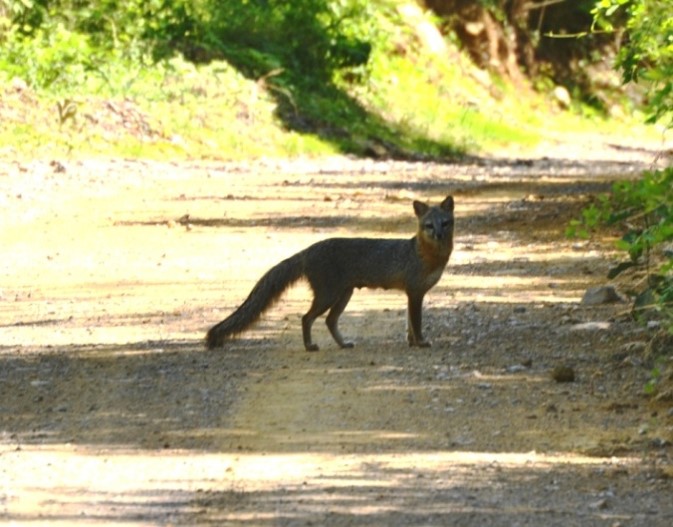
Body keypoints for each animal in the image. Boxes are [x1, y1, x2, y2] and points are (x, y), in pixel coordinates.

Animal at [207, 196, 454, 352]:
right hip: (329, 296)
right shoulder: (415, 293)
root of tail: (309, 250)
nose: (439, 235)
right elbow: (416, 323)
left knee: (328, 321)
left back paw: (342, 345)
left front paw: (412, 342)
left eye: (445, 223)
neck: (428, 255)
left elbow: (410, 325)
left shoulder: (412, 294)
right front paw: (420, 343)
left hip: (343, 295)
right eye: (429, 225)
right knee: (306, 318)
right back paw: (310, 347)